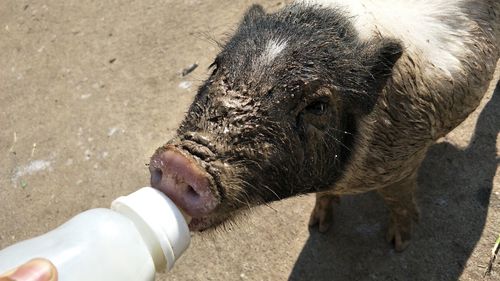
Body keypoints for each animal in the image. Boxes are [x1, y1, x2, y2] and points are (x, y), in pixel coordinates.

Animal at [149, 0, 500, 249]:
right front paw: (317, 227)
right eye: (215, 66)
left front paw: (399, 245)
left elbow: (397, 199)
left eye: (317, 105)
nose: (181, 163)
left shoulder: (403, 162)